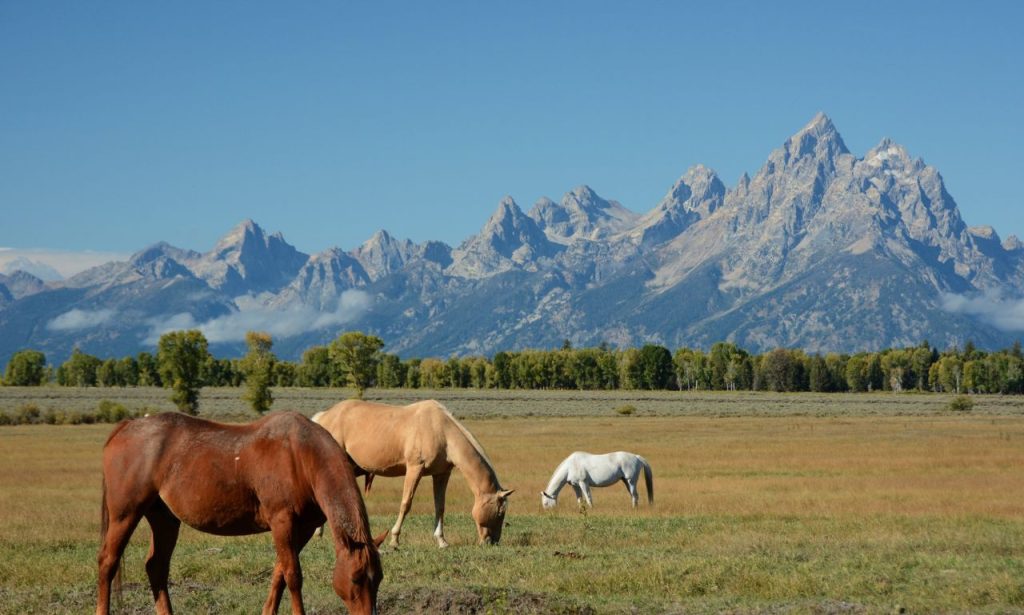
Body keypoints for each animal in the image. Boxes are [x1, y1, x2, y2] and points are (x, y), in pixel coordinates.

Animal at [96, 407, 385, 613]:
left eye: (379, 578)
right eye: (356, 579)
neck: (302, 457)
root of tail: (126, 426)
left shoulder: (302, 529)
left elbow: (279, 574)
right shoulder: (282, 522)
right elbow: (293, 576)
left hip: (164, 518)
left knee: (156, 567)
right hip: (125, 514)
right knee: (108, 562)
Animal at [309, 401, 512, 548]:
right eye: (500, 512)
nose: (492, 541)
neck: (441, 430)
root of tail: (323, 416)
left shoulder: (441, 474)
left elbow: (440, 507)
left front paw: (441, 541)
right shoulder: (415, 469)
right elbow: (406, 504)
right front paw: (394, 540)